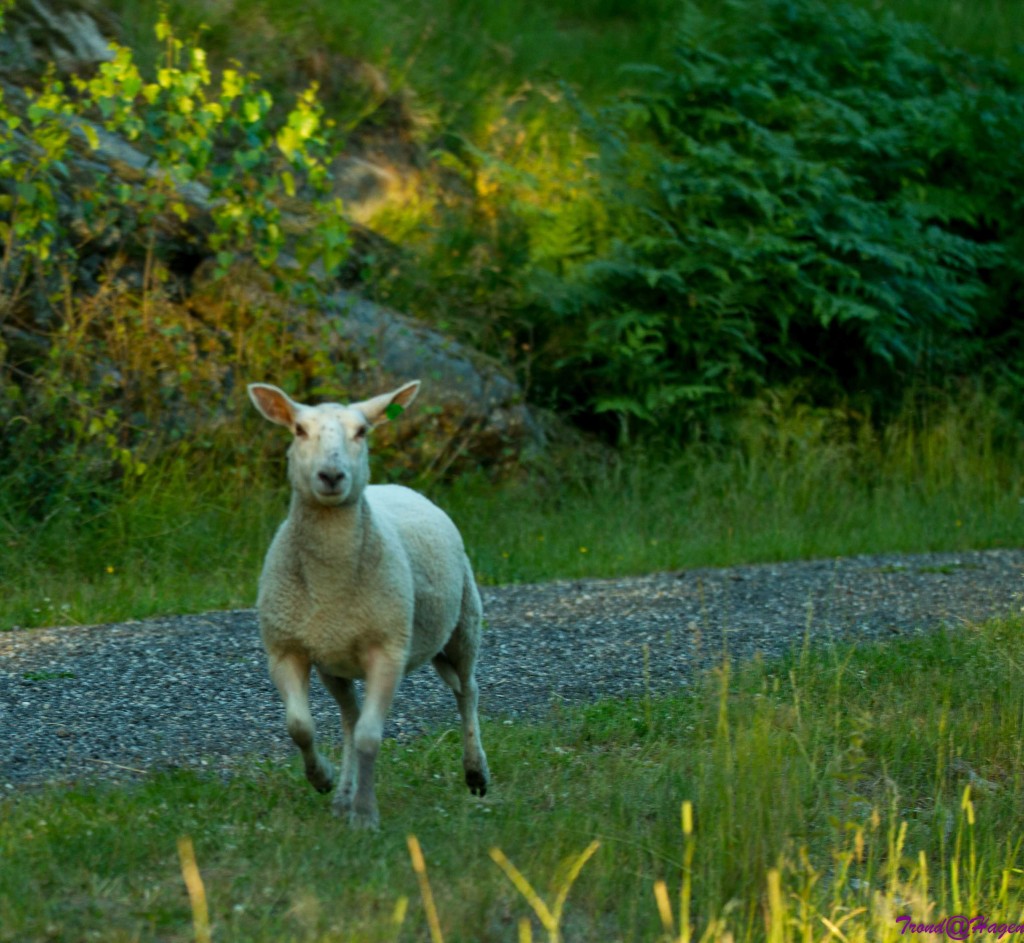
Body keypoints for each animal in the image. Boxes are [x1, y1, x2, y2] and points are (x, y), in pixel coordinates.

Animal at [245, 378, 489, 827]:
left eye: (362, 432)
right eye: (298, 431)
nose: (331, 475)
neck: (330, 582)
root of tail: (392, 486)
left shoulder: (388, 649)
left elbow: (371, 737)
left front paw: (365, 814)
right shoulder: (286, 648)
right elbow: (300, 727)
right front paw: (323, 780)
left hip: (465, 623)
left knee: (468, 692)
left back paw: (476, 772)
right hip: (334, 662)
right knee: (349, 717)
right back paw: (342, 792)